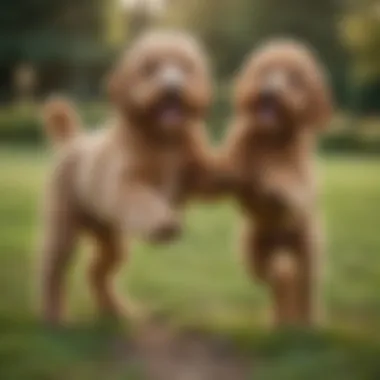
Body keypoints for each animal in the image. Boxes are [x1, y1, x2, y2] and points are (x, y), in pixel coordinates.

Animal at [38, 31, 220, 326]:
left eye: (186, 67)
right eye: (149, 68)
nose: (173, 89)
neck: (162, 139)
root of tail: (72, 140)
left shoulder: (194, 175)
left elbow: (211, 172)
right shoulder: (124, 185)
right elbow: (143, 200)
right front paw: (164, 224)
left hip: (110, 236)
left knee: (96, 271)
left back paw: (116, 310)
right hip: (63, 226)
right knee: (52, 270)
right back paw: (53, 316)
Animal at [220, 39, 332, 326]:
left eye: (294, 79)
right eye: (265, 71)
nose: (270, 93)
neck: (271, 137)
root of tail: (281, 243)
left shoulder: (298, 171)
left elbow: (290, 179)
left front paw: (279, 185)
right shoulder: (237, 154)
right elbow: (234, 165)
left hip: (307, 253)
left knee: (303, 291)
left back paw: (306, 324)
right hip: (254, 251)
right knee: (276, 281)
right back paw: (280, 315)